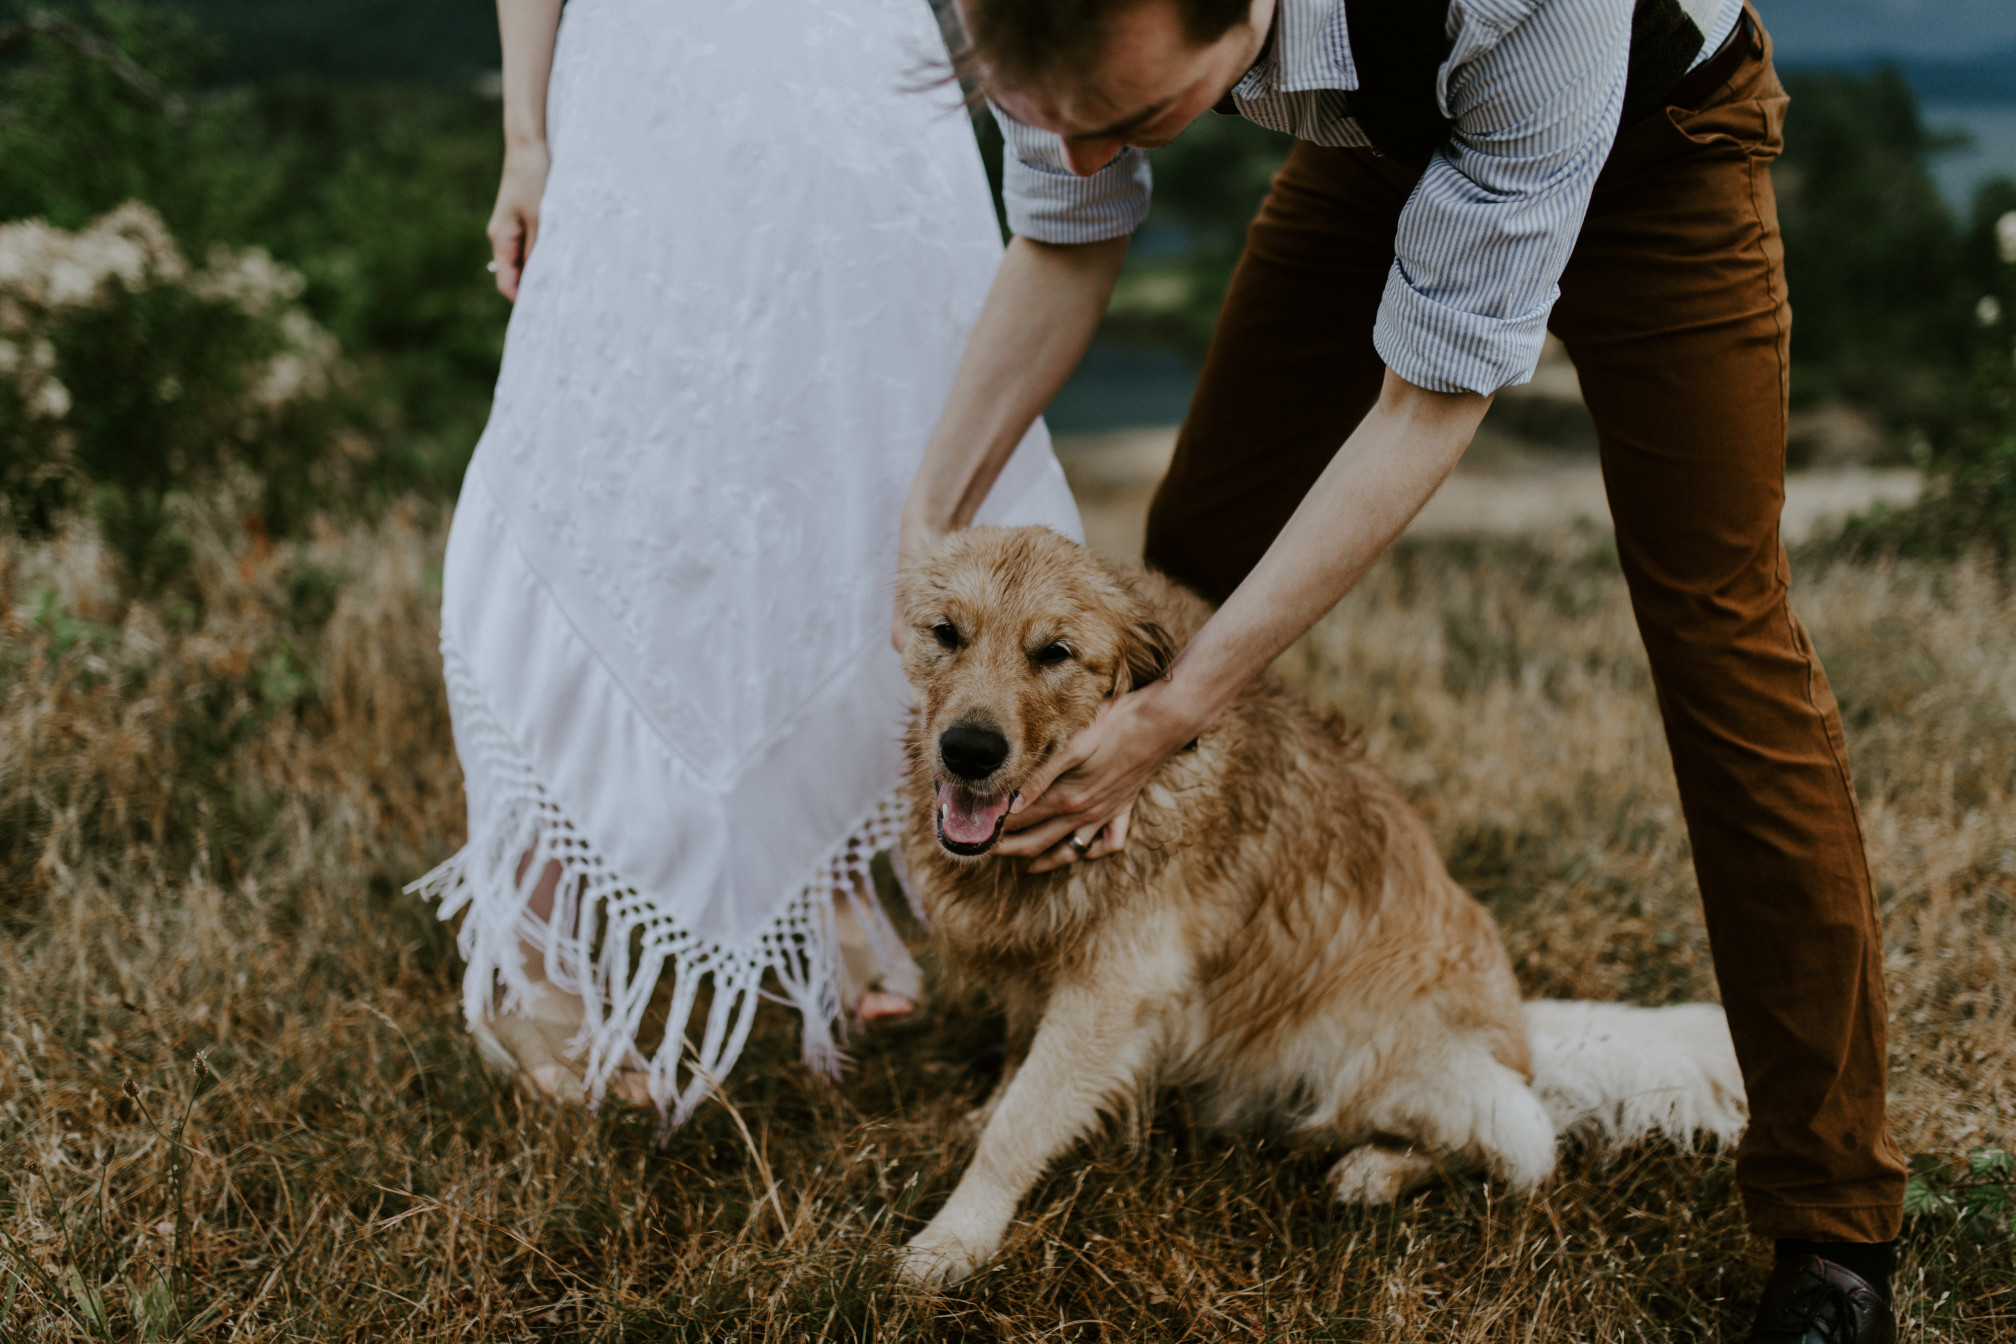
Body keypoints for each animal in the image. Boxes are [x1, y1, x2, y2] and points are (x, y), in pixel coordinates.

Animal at [891, 523, 1741, 1281]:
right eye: (947, 634)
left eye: (1055, 653)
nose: (968, 752)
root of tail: (1524, 1040)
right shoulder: (1044, 965)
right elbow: (1016, 1069)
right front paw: (979, 1121)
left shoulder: (1114, 989)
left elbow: (1021, 1124)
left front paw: (955, 1241)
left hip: (1373, 1054)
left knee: (1523, 1142)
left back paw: (1376, 1171)